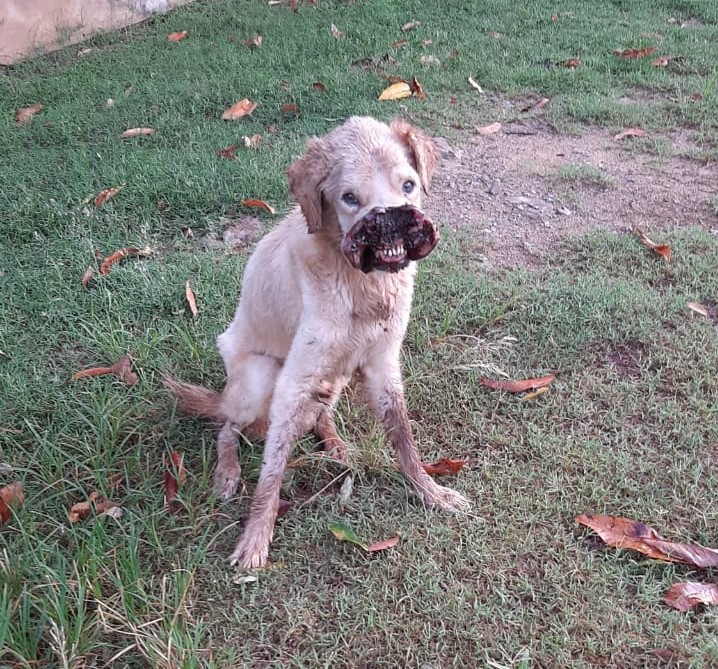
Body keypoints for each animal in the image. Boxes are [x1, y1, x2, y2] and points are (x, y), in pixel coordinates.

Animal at [168, 117, 472, 568]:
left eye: (409, 185)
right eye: (349, 197)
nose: (392, 221)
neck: (364, 286)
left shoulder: (383, 364)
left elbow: (404, 438)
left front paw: (429, 491)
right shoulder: (293, 380)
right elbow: (272, 471)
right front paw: (255, 538)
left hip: (338, 374)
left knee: (319, 416)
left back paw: (337, 446)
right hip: (259, 376)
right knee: (227, 427)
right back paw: (228, 469)